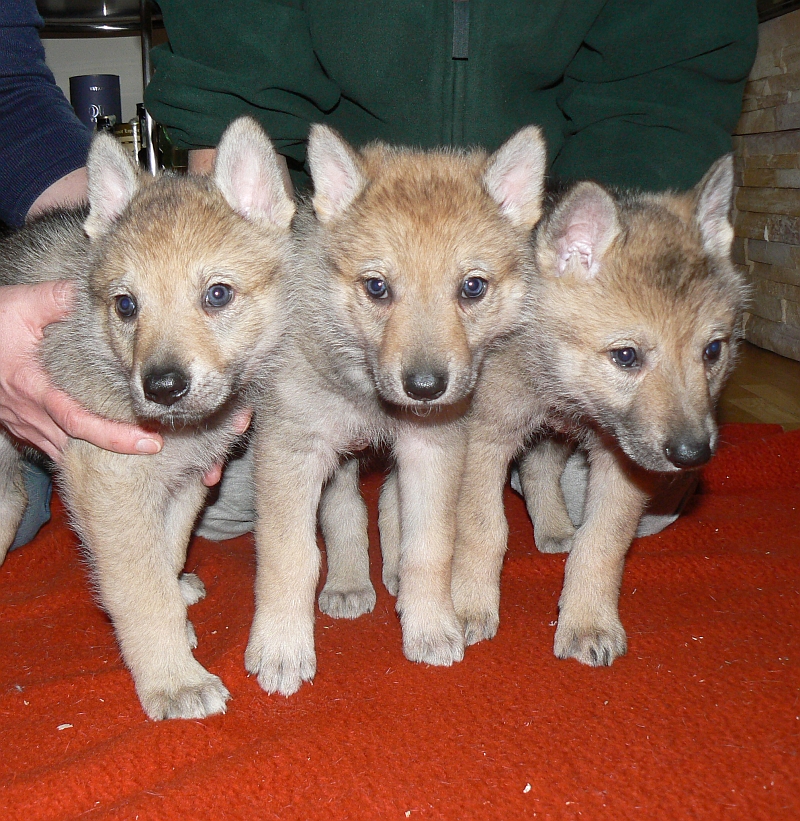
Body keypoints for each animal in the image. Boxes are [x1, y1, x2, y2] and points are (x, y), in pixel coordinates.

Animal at [0, 117, 294, 716]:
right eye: (126, 305)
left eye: (217, 294)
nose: (162, 388)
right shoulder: (108, 487)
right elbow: (140, 591)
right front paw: (174, 680)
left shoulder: (183, 481)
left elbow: (167, 550)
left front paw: (176, 599)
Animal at [242, 125, 544, 696]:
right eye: (377, 287)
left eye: (472, 287)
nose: (425, 388)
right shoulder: (292, 452)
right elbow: (291, 556)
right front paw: (281, 648)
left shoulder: (434, 449)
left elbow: (430, 546)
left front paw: (430, 627)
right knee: (344, 511)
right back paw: (348, 582)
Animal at [446, 154, 748, 668]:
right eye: (626, 356)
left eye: (712, 351)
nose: (693, 455)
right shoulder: (485, 436)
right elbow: (483, 527)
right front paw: (469, 606)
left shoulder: (623, 464)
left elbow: (601, 543)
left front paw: (588, 621)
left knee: (540, 469)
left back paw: (554, 530)